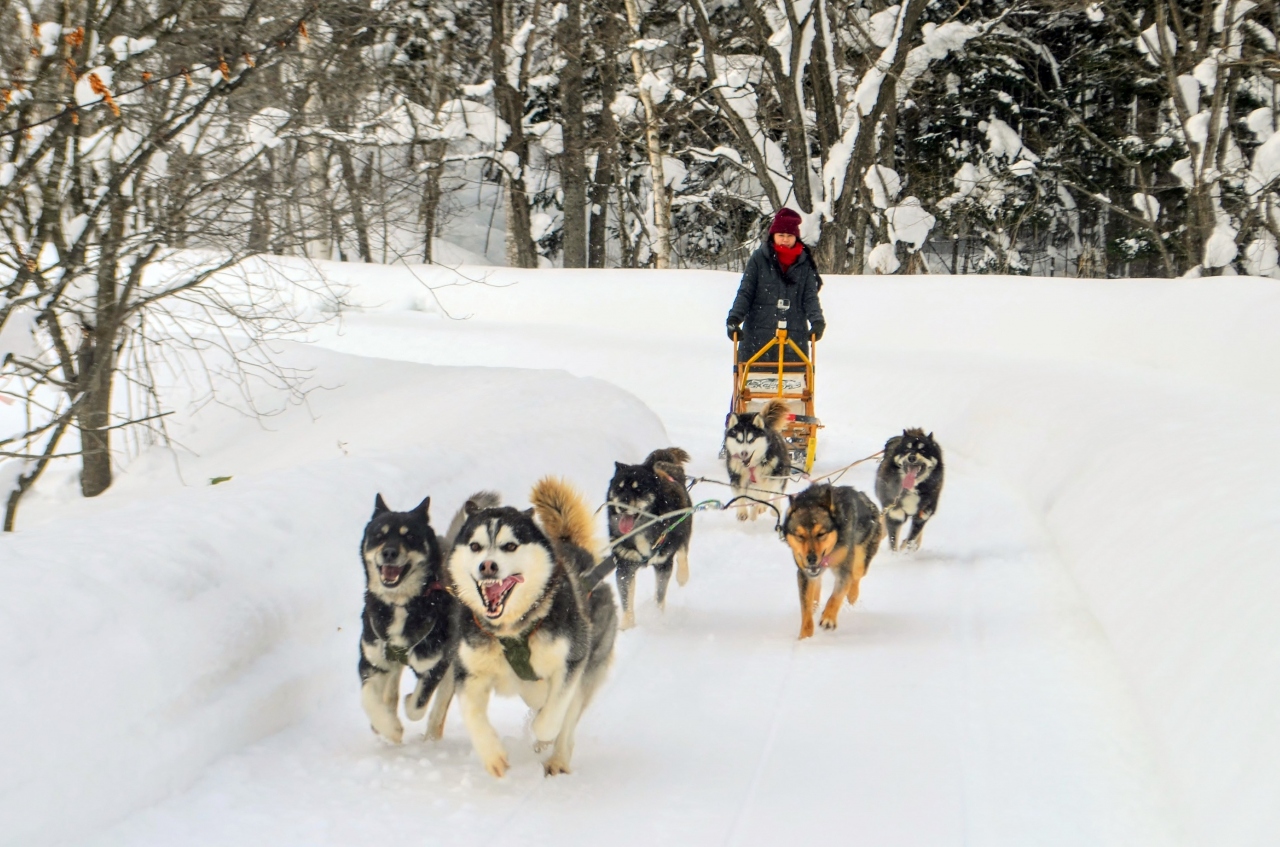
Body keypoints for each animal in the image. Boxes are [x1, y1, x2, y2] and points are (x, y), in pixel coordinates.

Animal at [778, 481, 880, 639]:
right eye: (800, 536)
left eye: (821, 534)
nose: (811, 558)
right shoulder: (805, 574)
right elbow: (806, 607)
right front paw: (805, 637)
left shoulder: (844, 570)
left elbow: (836, 596)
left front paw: (828, 618)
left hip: (862, 555)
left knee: (856, 576)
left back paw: (852, 594)